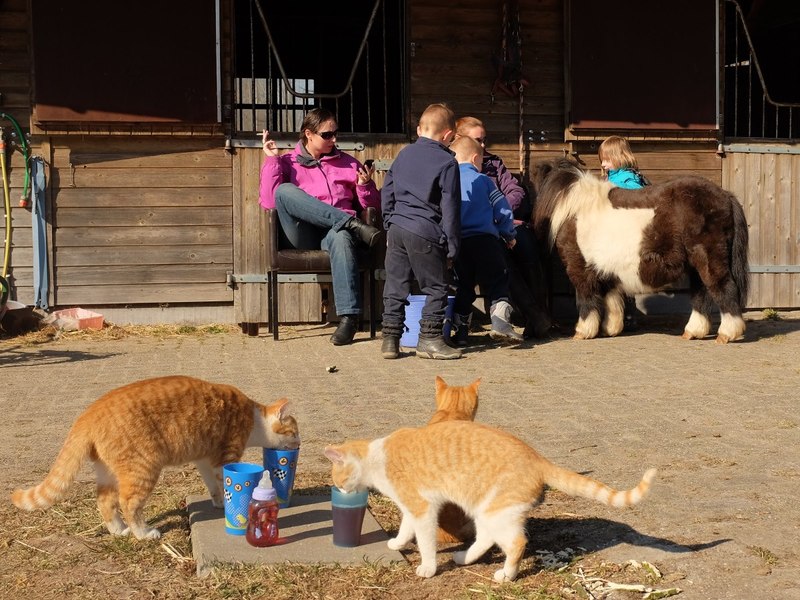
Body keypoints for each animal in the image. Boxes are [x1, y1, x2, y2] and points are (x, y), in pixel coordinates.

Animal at [11, 375, 300, 540]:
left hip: (108, 473)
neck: (253, 419)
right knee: (128, 504)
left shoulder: (204, 460)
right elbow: (223, 483)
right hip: (144, 469)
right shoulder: (226, 457)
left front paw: (218, 503)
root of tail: (89, 413)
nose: (300, 442)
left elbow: (213, 486)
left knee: (105, 501)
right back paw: (143, 533)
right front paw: (228, 507)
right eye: (295, 432)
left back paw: (119, 531)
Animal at [324, 420, 655, 582]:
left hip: (496, 513)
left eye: (338, 480)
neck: (376, 459)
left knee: (517, 543)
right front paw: (396, 544)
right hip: (487, 512)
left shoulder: (422, 510)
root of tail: (537, 458)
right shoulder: (412, 508)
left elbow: (426, 542)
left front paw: (428, 568)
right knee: (486, 539)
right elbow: (406, 531)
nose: (339, 489)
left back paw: (506, 575)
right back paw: (463, 559)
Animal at [532, 158, 749, 343]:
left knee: (724, 288)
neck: (576, 209)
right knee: (701, 294)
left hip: (709, 260)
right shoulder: (606, 272)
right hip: (697, 266)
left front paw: (583, 331)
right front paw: (610, 329)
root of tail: (725, 196)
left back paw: (726, 333)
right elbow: (612, 303)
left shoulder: (580, 270)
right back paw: (693, 331)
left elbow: (586, 300)